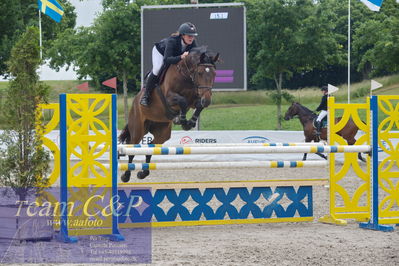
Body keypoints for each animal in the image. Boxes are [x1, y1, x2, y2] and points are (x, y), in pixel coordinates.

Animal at [119, 46, 219, 182]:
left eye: (214, 74)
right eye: (200, 73)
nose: (207, 100)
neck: (186, 76)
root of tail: (135, 102)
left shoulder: (195, 98)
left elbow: (198, 105)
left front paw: (189, 122)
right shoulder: (170, 98)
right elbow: (182, 101)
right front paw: (182, 120)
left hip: (162, 132)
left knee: (151, 145)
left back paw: (143, 173)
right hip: (138, 129)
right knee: (131, 148)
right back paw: (126, 175)